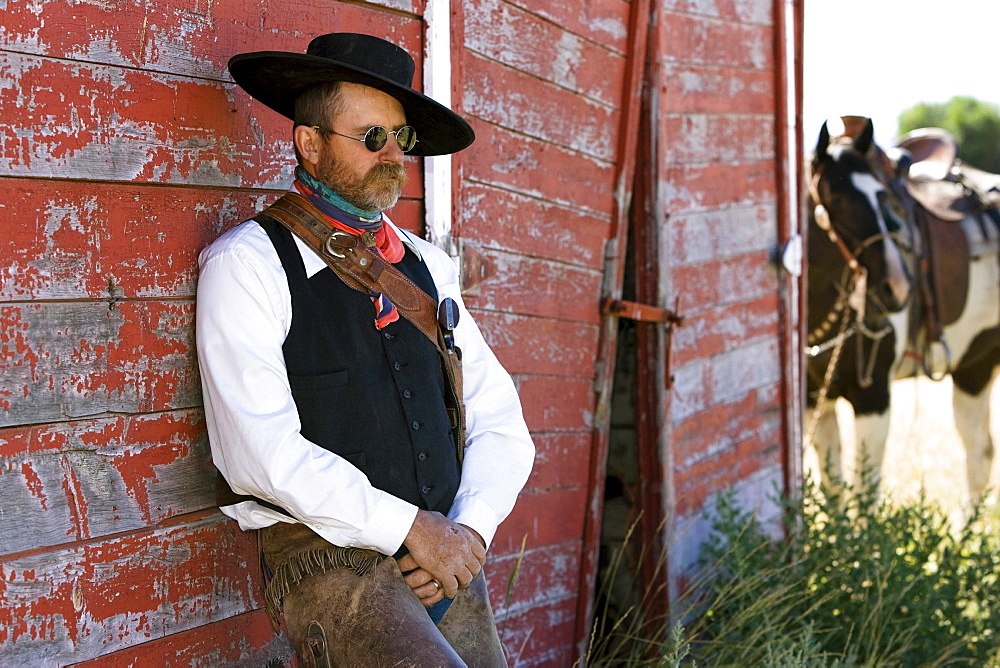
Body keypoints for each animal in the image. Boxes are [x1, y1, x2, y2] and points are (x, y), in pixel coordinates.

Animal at [804, 116, 1000, 500]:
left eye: (885, 200)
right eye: (836, 198)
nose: (897, 288)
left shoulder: (873, 395)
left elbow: (865, 490)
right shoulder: (813, 399)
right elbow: (832, 486)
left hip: (977, 365)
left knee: (977, 454)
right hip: (974, 365)